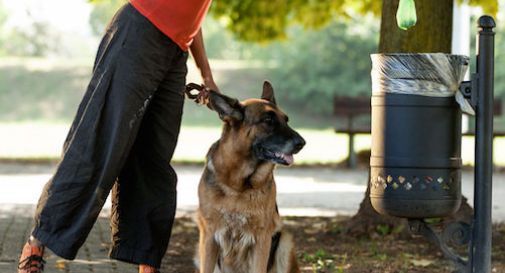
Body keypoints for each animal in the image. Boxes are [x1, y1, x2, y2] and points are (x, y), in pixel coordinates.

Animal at [193, 81, 304, 272]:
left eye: (286, 120)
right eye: (268, 121)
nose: (302, 143)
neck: (238, 185)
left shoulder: (262, 239)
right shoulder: (208, 236)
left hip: (285, 242)